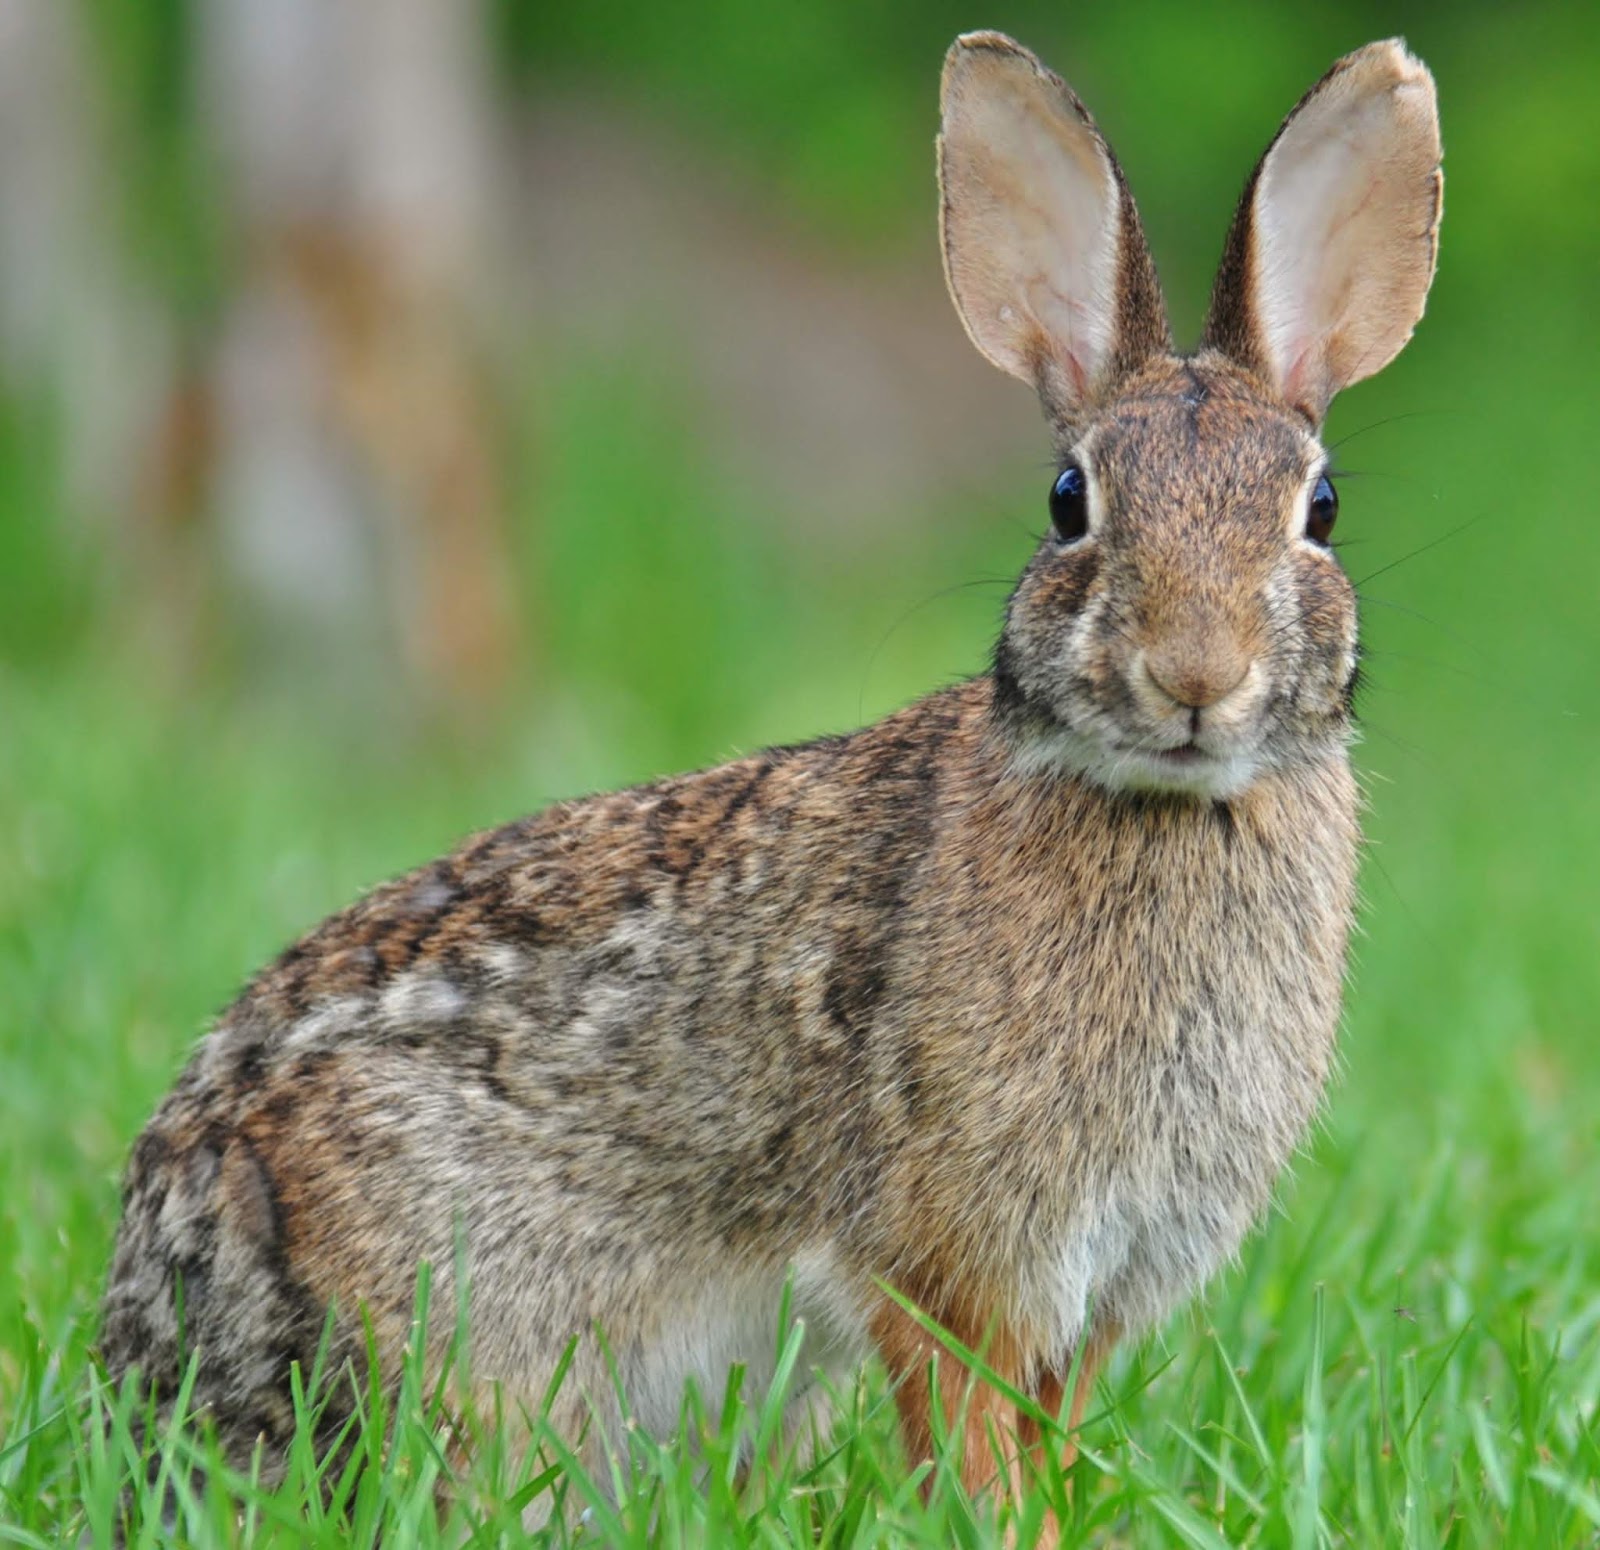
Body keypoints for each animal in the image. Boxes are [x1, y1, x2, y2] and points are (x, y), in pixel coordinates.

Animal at [100, 29, 1441, 1532]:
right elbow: (970, 1438)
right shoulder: (943, 1258)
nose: (1194, 673)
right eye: (1067, 502)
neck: (1162, 808)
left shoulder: (1091, 1293)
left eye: (1318, 508)